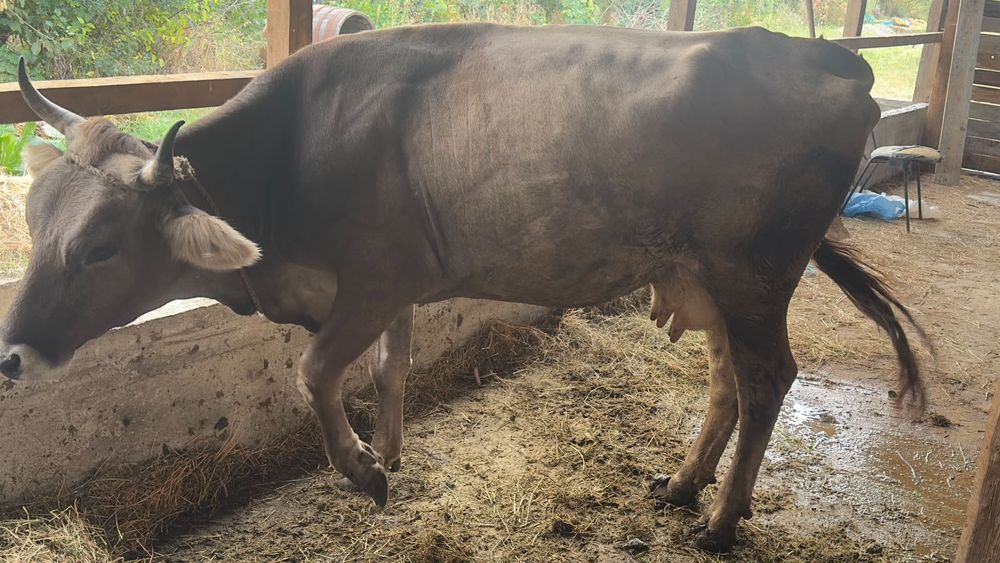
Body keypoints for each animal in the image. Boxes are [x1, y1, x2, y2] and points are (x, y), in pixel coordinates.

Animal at [2, 23, 924, 552]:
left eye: (100, 247)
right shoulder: (396, 290)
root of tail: (831, 59)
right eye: (37, 219)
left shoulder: (376, 279)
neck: (288, 159)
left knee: (767, 380)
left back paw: (722, 522)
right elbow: (388, 368)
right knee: (727, 379)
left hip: (753, 274)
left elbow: (314, 371)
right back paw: (682, 484)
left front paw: (363, 470)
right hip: (706, 280)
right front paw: (391, 452)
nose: (11, 355)